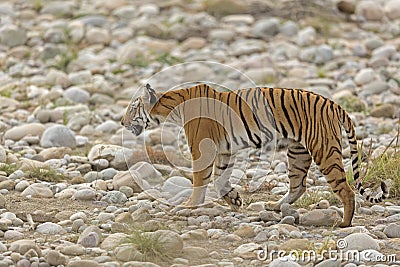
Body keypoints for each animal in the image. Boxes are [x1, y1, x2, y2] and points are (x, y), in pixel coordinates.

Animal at [121, 82, 390, 227]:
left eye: (132, 108)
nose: (121, 122)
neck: (171, 108)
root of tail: (333, 103)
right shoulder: (224, 149)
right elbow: (219, 179)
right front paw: (234, 200)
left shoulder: (202, 147)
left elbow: (200, 179)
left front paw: (189, 205)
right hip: (298, 152)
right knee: (298, 185)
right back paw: (275, 206)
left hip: (324, 150)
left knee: (345, 188)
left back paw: (344, 223)